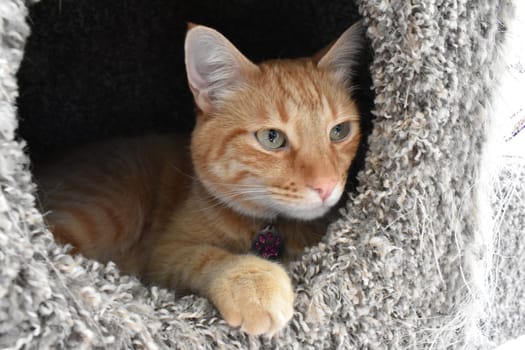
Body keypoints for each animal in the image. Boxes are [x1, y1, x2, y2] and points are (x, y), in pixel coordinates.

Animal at [35, 19, 364, 336]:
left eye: (339, 131)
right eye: (271, 138)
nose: (326, 186)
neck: (270, 226)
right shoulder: (165, 253)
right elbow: (208, 256)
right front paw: (253, 282)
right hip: (109, 210)